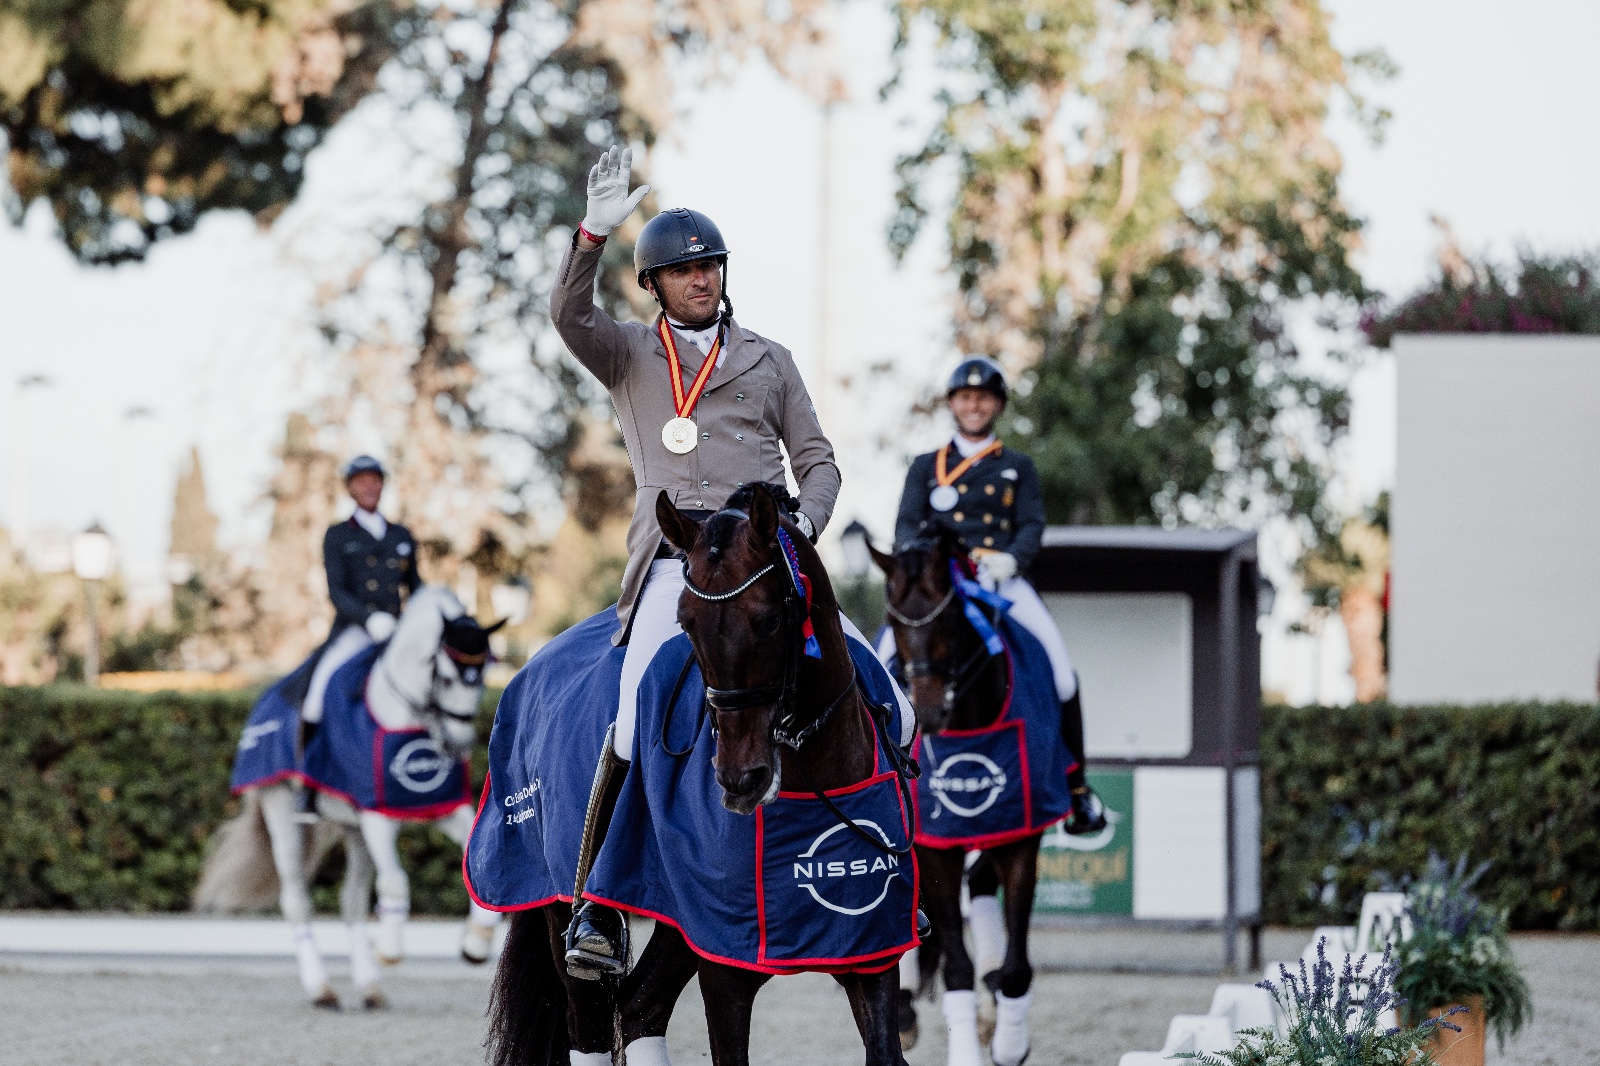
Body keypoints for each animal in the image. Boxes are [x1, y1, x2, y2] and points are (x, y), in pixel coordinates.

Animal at [197, 585, 502, 1011]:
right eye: (444, 675)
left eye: (482, 675)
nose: (458, 745)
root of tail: (264, 702)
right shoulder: (376, 816)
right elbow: (395, 882)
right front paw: (390, 950)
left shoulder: (443, 807)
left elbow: (477, 860)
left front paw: (476, 942)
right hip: (283, 814)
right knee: (296, 901)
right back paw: (321, 988)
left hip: (353, 830)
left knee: (352, 901)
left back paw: (369, 987)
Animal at [483, 486, 915, 1062]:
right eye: (685, 622)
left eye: (770, 620)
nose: (740, 779)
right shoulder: (725, 969)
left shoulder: (869, 950)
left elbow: (885, 1049)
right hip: (562, 904)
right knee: (591, 1021)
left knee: (639, 1008)